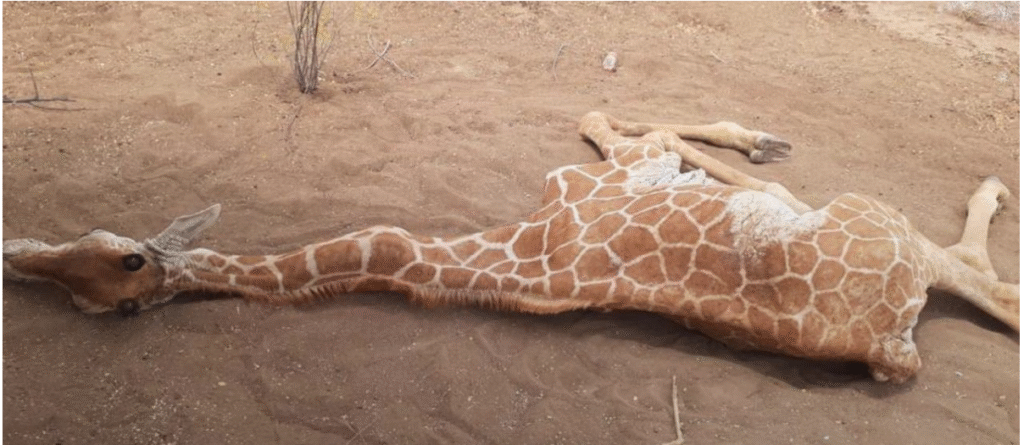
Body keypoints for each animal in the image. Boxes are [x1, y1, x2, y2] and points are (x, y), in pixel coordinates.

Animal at [2, 112, 1018, 385]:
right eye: (97, 301)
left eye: (121, 260)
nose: (18, 256)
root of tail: (885, 341)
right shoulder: (604, 175)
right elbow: (622, 125)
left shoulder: (593, 177)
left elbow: (621, 125)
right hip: (879, 222)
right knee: (987, 281)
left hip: (867, 213)